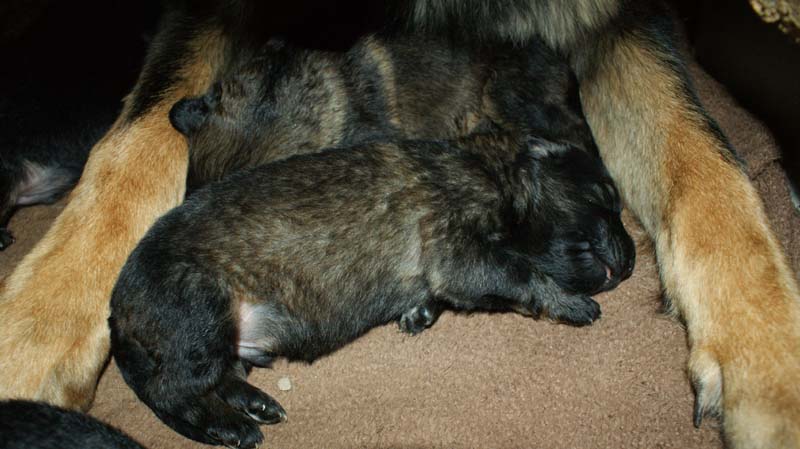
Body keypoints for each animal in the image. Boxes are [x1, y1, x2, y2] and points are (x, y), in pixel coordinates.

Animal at [0, 1, 797, 448]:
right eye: (600, 197)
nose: (626, 261)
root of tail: (122, 311)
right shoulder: (464, 250)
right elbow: (517, 273)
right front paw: (569, 301)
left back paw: (249, 400)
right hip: (197, 322)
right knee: (174, 393)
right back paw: (230, 422)